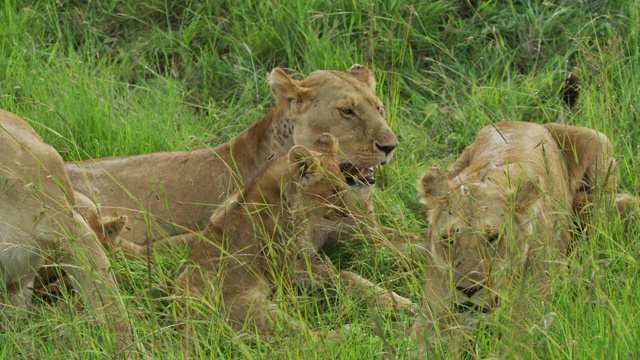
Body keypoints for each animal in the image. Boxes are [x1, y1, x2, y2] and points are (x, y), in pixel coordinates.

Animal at [175, 134, 416, 338]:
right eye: (333, 192)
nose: (349, 212)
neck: (301, 213)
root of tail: (182, 319)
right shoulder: (285, 269)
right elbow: (345, 275)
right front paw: (401, 303)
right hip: (255, 309)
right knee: (306, 340)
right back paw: (354, 331)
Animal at [408, 121, 628, 352]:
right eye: (448, 240)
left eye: (493, 238)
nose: (468, 289)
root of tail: (534, 123)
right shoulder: (432, 314)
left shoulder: (528, 318)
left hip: (599, 143)